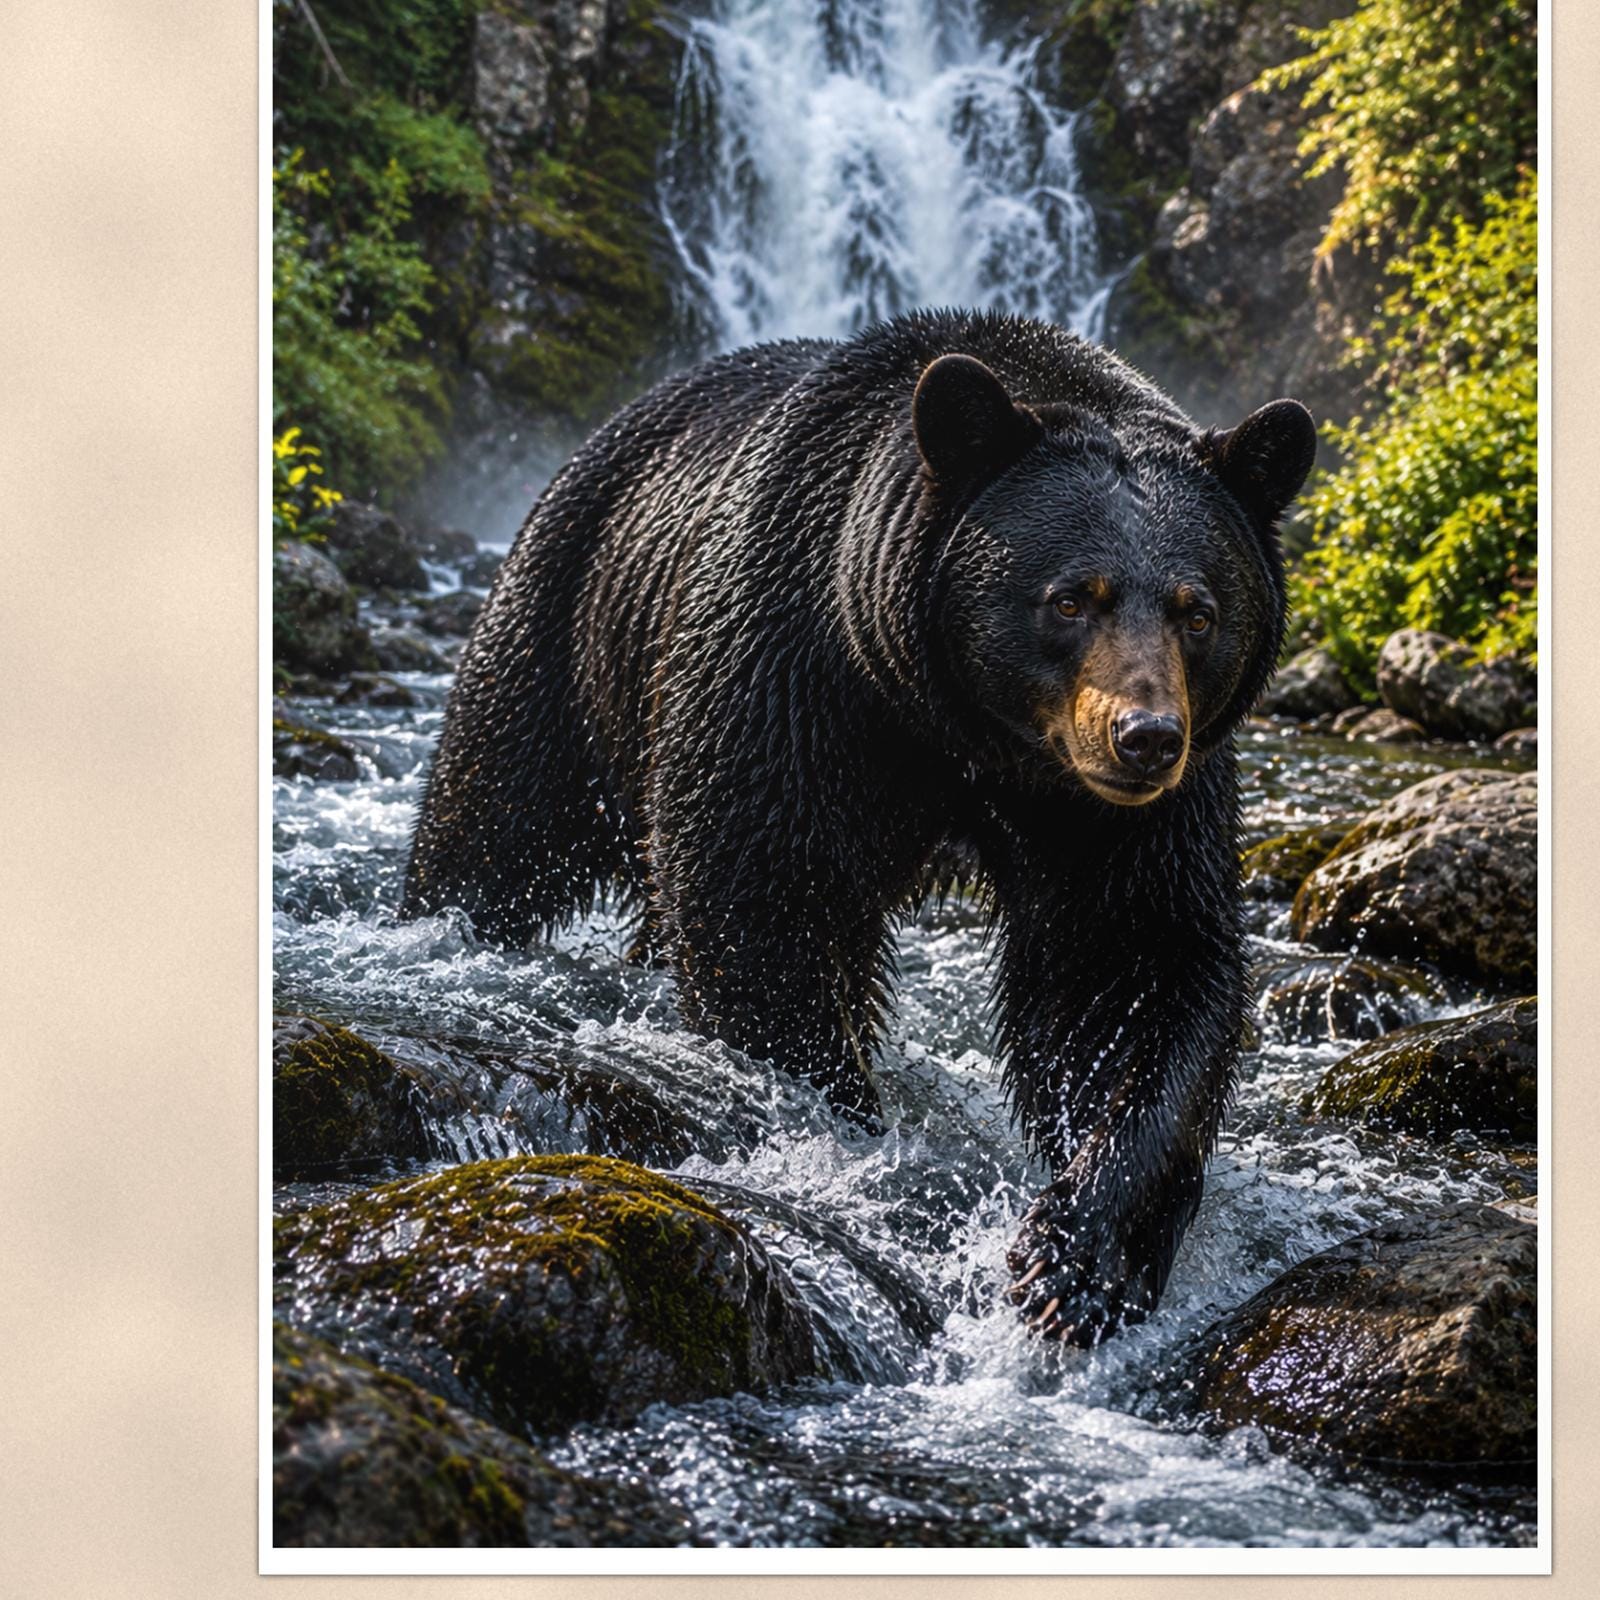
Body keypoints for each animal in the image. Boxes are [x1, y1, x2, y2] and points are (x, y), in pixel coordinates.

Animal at [403, 308, 1316, 1346]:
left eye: (1198, 611)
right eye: (1071, 597)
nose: (1146, 738)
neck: (968, 733)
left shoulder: (1122, 816)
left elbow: (1133, 966)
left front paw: (1077, 1258)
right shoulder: (794, 671)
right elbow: (760, 898)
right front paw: (852, 1134)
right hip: (571, 623)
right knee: (496, 813)